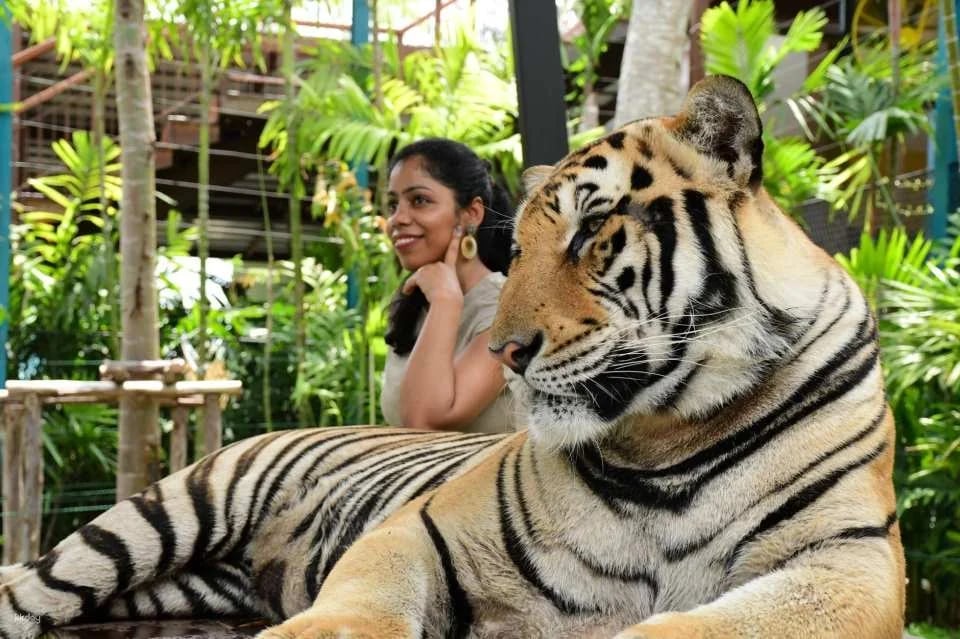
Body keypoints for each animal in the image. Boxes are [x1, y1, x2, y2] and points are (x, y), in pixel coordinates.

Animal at [0, 75, 903, 639]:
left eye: (591, 229)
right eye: (517, 247)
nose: (503, 350)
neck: (666, 439)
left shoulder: (852, 560)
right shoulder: (424, 525)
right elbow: (365, 596)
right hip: (159, 516)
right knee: (31, 587)